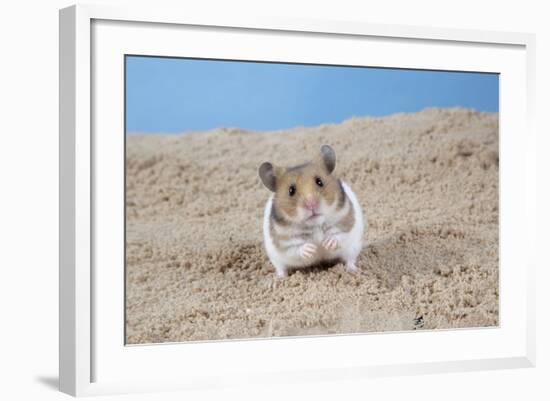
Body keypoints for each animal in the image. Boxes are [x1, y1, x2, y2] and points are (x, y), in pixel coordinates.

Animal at [260, 145, 366, 278]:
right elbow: (296, 248)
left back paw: (354, 270)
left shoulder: (347, 222)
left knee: (350, 260)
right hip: (276, 258)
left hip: (354, 247)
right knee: (281, 268)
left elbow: (339, 235)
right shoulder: (284, 241)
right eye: (291, 190)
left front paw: (326, 244)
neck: (315, 225)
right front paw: (312, 249)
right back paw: (279, 279)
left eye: (319, 181)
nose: (311, 204)